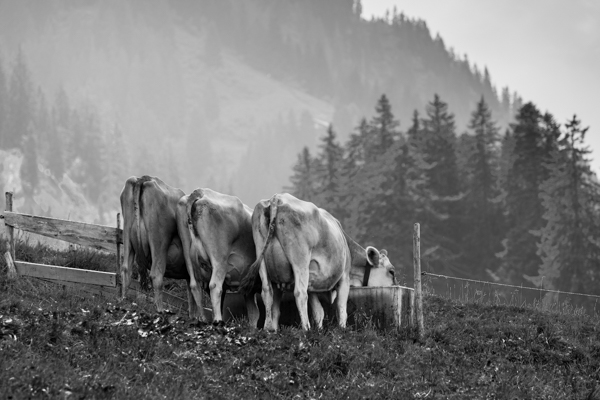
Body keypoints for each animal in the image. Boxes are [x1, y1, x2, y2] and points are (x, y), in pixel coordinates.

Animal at [176, 189, 260, 326]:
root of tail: (202, 192)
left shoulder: (249, 288)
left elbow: (253, 313)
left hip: (188, 252)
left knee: (195, 286)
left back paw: (202, 319)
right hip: (219, 257)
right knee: (215, 286)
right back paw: (218, 321)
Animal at [239, 194, 398, 332]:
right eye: (391, 271)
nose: (395, 285)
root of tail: (276, 198)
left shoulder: (311, 281)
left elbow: (316, 311)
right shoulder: (344, 277)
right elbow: (341, 308)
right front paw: (342, 330)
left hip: (261, 256)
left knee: (267, 292)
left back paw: (268, 329)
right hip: (300, 259)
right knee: (300, 293)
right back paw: (306, 329)